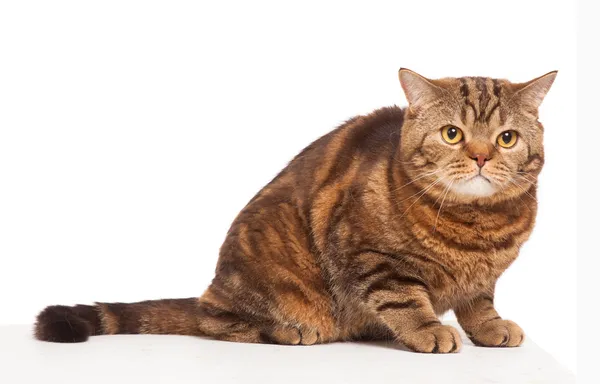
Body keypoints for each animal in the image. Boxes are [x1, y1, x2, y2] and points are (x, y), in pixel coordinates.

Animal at [34, 68, 556, 354]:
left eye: (506, 138)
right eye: (452, 134)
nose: (482, 156)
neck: (476, 225)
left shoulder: (484, 277)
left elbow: (479, 301)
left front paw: (489, 327)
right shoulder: (370, 258)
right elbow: (406, 299)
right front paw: (430, 329)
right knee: (217, 322)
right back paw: (288, 330)